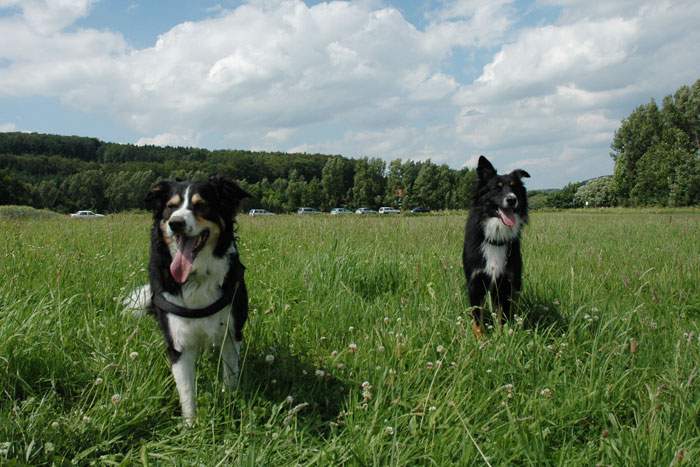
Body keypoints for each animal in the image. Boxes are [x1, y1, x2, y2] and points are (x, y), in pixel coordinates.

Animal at [125, 176, 249, 424]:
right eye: (171, 207)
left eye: (201, 205)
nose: (176, 223)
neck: (197, 276)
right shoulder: (178, 342)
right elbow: (186, 391)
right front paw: (190, 426)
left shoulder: (231, 334)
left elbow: (230, 377)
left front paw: (230, 406)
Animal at [464, 157, 532, 336]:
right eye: (497, 188)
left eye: (514, 187)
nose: (512, 199)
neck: (495, 237)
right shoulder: (476, 283)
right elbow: (477, 319)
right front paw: (480, 339)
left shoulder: (505, 283)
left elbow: (502, 317)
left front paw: (501, 337)